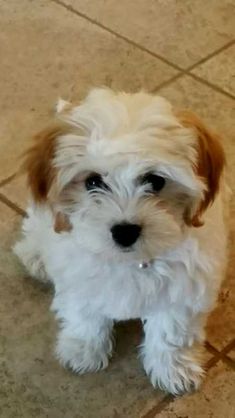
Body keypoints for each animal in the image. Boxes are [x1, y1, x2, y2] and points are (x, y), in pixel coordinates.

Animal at [13, 88, 229, 396]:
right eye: (93, 182)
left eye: (155, 181)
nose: (125, 231)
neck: (129, 259)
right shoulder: (79, 279)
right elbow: (84, 315)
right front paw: (83, 349)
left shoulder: (184, 289)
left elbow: (171, 330)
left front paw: (173, 369)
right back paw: (34, 257)